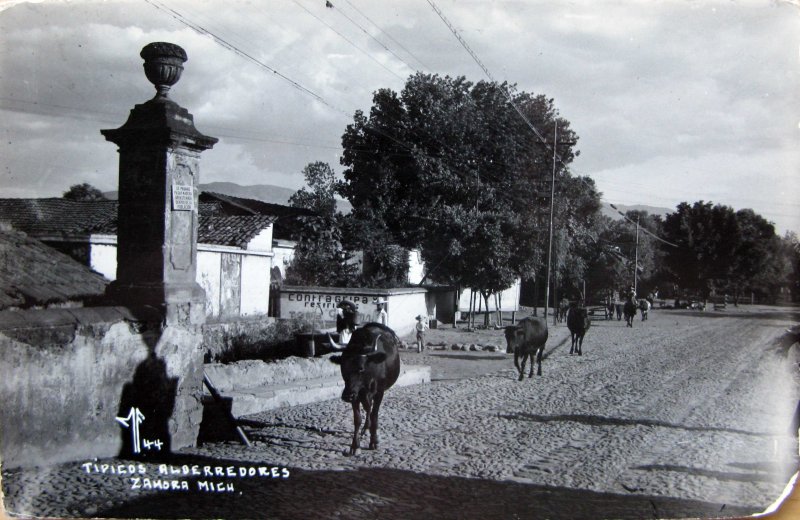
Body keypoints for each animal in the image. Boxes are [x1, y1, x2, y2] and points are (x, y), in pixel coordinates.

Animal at [328, 322, 400, 458]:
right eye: (342, 367)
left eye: (361, 368)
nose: (346, 396)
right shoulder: (355, 394)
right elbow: (357, 419)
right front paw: (355, 446)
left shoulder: (379, 393)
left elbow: (374, 415)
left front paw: (374, 441)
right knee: (367, 408)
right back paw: (366, 428)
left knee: (370, 410)